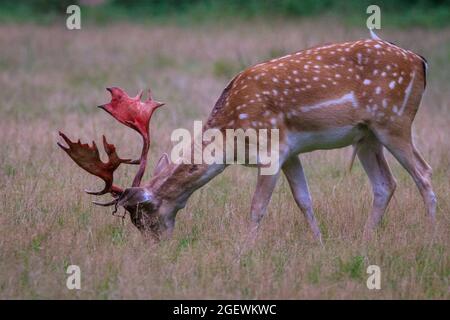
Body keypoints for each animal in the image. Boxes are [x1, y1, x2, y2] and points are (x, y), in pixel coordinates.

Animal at [59, 31, 436, 242]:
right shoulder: (291, 152)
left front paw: (244, 251)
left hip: (394, 120)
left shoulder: (271, 149)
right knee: (385, 184)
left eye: (144, 217)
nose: (156, 247)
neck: (232, 137)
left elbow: (257, 208)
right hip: (366, 135)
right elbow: (304, 200)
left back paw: (430, 240)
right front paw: (320, 243)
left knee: (424, 173)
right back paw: (364, 241)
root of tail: (420, 61)